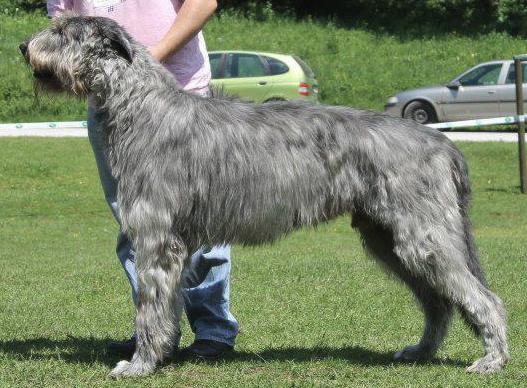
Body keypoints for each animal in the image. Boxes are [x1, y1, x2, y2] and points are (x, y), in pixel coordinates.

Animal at [21, 14, 512, 376]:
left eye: (63, 32)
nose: (24, 46)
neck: (141, 107)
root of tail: (441, 141)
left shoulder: (156, 237)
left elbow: (150, 307)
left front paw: (140, 364)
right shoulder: (173, 243)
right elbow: (168, 306)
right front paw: (160, 353)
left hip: (422, 234)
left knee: (481, 297)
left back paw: (492, 359)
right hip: (387, 238)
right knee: (438, 300)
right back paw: (421, 351)